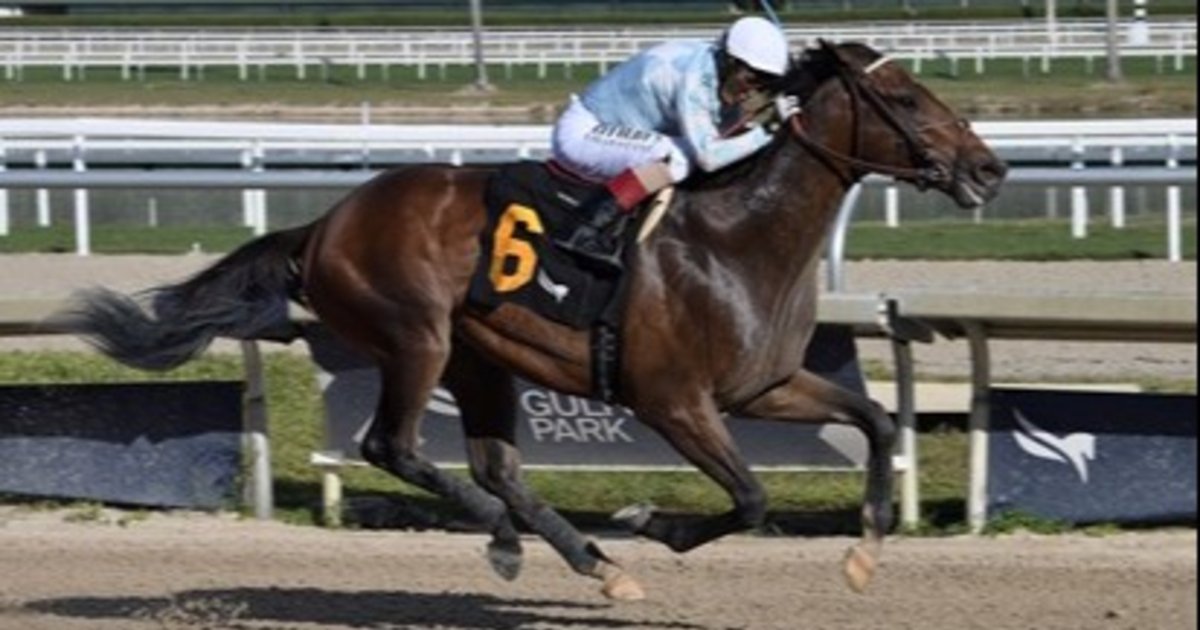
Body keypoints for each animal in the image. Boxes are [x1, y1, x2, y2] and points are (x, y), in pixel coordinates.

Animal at [58, 41, 1012, 602]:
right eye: (911, 102)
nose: (990, 169)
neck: (734, 240)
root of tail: (323, 224)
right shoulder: (673, 401)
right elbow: (750, 496)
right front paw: (652, 522)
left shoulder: (766, 384)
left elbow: (877, 420)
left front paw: (865, 554)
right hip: (417, 338)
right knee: (394, 446)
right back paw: (526, 543)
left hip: (480, 359)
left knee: (498, 467)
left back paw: (578, 558)